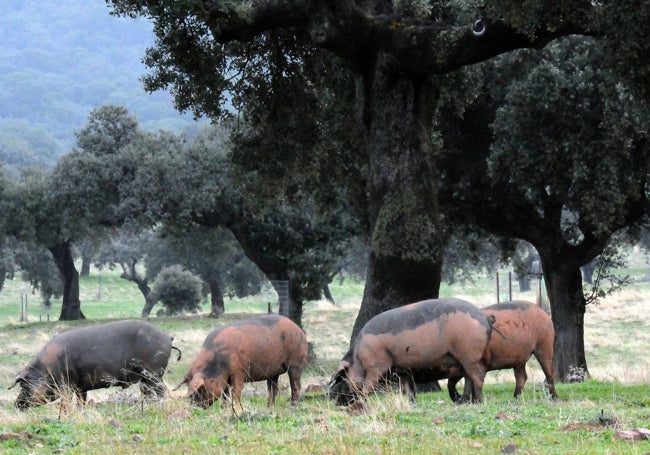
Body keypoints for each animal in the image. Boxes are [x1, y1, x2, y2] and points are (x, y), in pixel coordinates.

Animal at [8, 320, 180, 410]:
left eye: (23, 385)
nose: (16, 404)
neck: (47, 370)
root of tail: (167, 337)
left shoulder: (67, 385)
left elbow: (66, 402)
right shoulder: (80, 387)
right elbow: (81, 401)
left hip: (153, 372)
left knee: (161, 389)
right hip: (146, 377)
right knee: (149, 391)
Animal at [176, 316, 308, 412]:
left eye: (200, 389)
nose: (194, 408)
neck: (218, 360)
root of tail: (299, 330)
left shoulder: (239, 372)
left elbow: (236, 393)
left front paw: (237, 409)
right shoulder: (225, 379)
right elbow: (225, 394)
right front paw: (224, 409)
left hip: (296, 363)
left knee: (296, 385)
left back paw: (293, 406)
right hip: (273, 373)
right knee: (273, 390)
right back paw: (269, 407)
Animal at [330, 300, 492, 406]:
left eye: (343, 379)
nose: (337, 403)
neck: (357, 358)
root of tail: (484, 317)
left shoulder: (375, 367)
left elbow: (368, 386)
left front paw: (361, 402)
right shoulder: (404, 370)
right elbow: (409, 388)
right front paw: (412, 403)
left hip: (470, 356)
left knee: (477, 378)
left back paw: (478, 402)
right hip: (465, 360)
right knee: (469, 379)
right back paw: (467, 402)